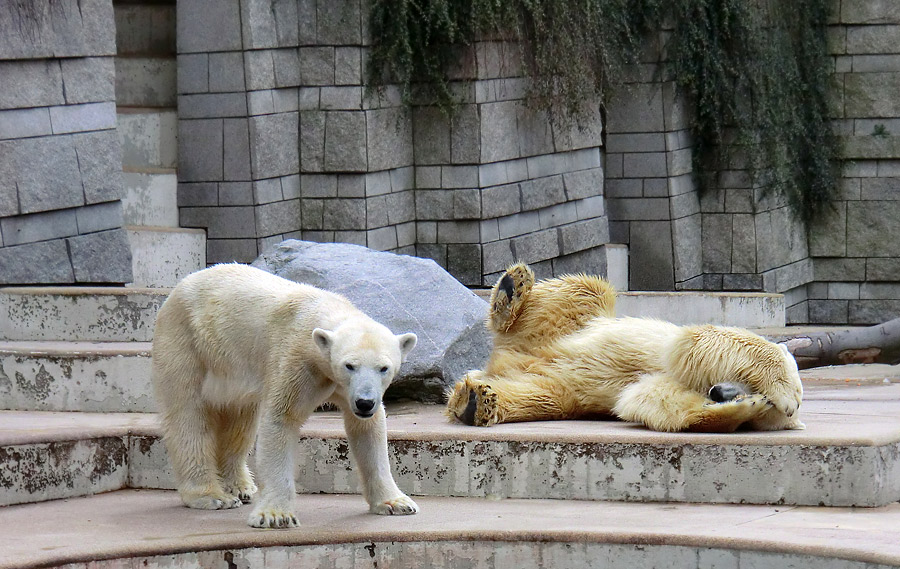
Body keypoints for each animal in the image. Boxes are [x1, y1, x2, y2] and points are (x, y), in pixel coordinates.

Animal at [151, 262, 418, 528]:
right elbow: (281, 420)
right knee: (189, 416)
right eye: (349, 365)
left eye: (384, 368)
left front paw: (397, 502)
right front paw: (275, 515)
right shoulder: (295, 361)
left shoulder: (344, 387)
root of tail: (178, 288)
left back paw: (241, 487)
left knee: (240, 420)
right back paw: (213, 496)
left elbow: (368, 430)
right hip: (187, 344)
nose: (364, 403)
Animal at [446, 262, 804, 430]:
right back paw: (512, 289)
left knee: (537, 395)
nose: (719, 392)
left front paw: (739, 408)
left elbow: (649, 399)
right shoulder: (686, 345)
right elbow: (696, 341)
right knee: (587, 289)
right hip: (569, 324)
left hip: (552, 385)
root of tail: (506, 356)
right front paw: (785, 389)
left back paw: (475, 402)